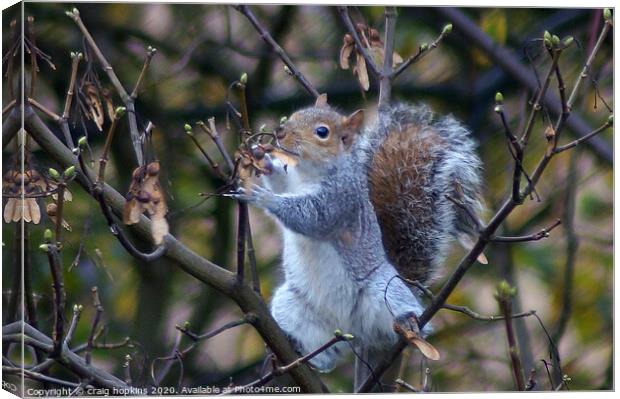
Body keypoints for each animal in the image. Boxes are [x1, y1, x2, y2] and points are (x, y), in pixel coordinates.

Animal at [232, 95, 484, 374]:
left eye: (322, 132)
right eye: (295, 115)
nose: (279, 132)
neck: (308, 174)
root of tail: (353, 329)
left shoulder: (340, 200)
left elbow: (313, 218)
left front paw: (264, 197)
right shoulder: (290, 182)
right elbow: (279, 182)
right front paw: (261, 158)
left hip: (385, 290)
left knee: (408, 318)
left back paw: (409, 323)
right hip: (294, 307)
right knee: (325, 352)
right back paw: (303, 353)